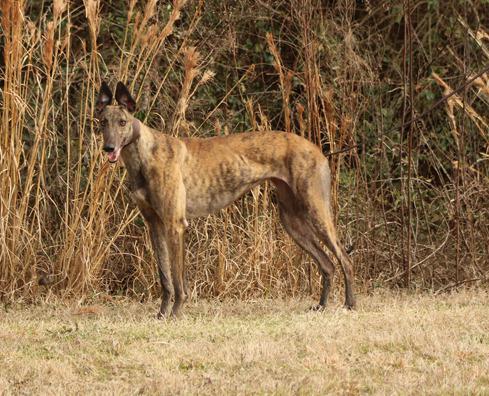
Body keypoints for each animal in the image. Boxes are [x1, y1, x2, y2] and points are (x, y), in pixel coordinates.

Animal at [95, 82, 354, 318]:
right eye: (103, 122)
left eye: (122, 122)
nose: (108, 147)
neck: (145, 154)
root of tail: (318, 150)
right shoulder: (155, 225)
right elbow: (165, 278)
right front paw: (161, 315)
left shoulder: (175, 224)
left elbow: (178, 280)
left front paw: (176, 314)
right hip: (292, 221)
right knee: (327, 264)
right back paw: (321, 306)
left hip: (316, 211)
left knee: (344, 259)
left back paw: (349, 304)